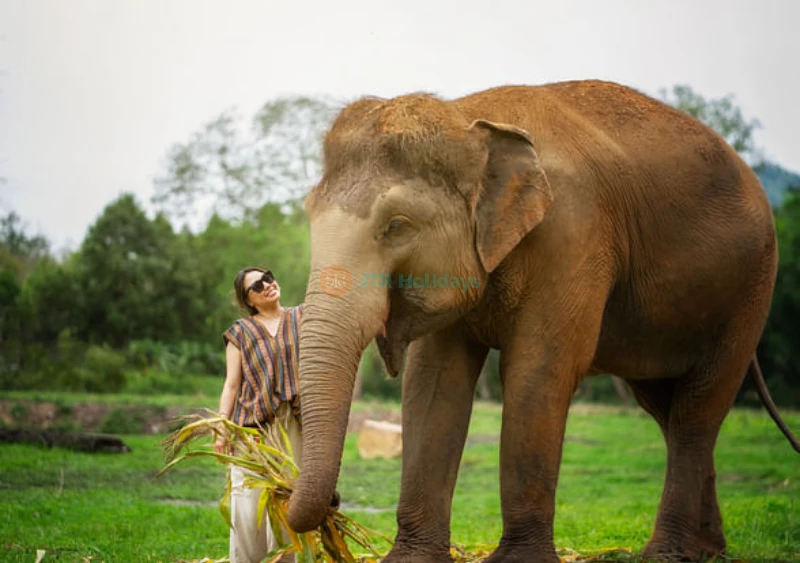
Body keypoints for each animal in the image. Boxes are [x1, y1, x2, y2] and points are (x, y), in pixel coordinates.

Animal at [284, 80, 796, 563]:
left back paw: (670, 553)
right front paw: (409, 559)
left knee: (698, 407)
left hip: (750, 288)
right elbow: (433, 382)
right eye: (307, 213)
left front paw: (517, 560)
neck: (469, 117)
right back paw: (707, 550)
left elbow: (539, 372)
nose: (333, 499)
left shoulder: (574, 233)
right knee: (665, 407)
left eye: (397, 226)